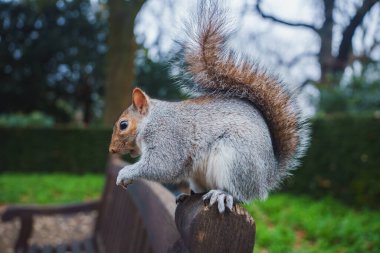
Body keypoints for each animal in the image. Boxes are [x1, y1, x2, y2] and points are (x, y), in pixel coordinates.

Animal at [109, 0, 308, 212]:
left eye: (123, 125)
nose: (111, 150)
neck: (151, 120)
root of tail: (267, 176)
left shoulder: (168, 137)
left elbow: (163, 165)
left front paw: (125, 172)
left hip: (236, 159)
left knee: (240, 193)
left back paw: (223, 194)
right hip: (202, 175)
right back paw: (188, 195)